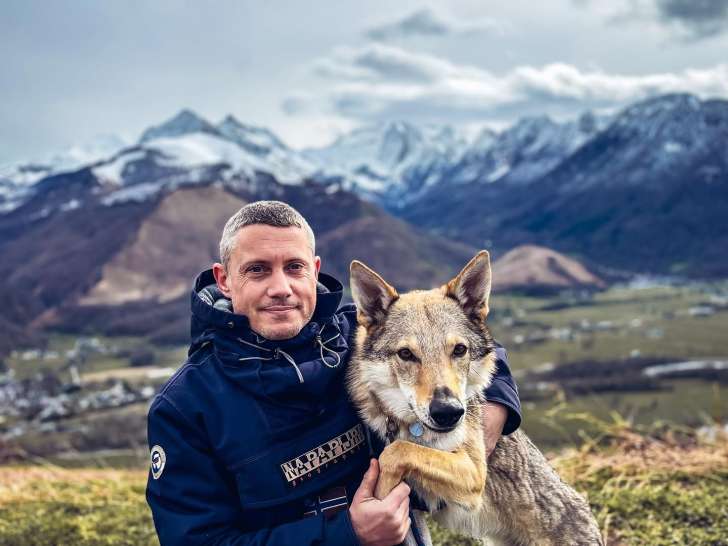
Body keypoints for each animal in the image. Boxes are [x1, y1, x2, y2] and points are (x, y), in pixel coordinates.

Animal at [346, 251, 603, 546]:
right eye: (406, 354)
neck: (412, 429)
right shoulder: (417, 514)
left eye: (459, 350)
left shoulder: (473, 471)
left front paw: (381, 493)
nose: (448, 412)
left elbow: (397, 451)